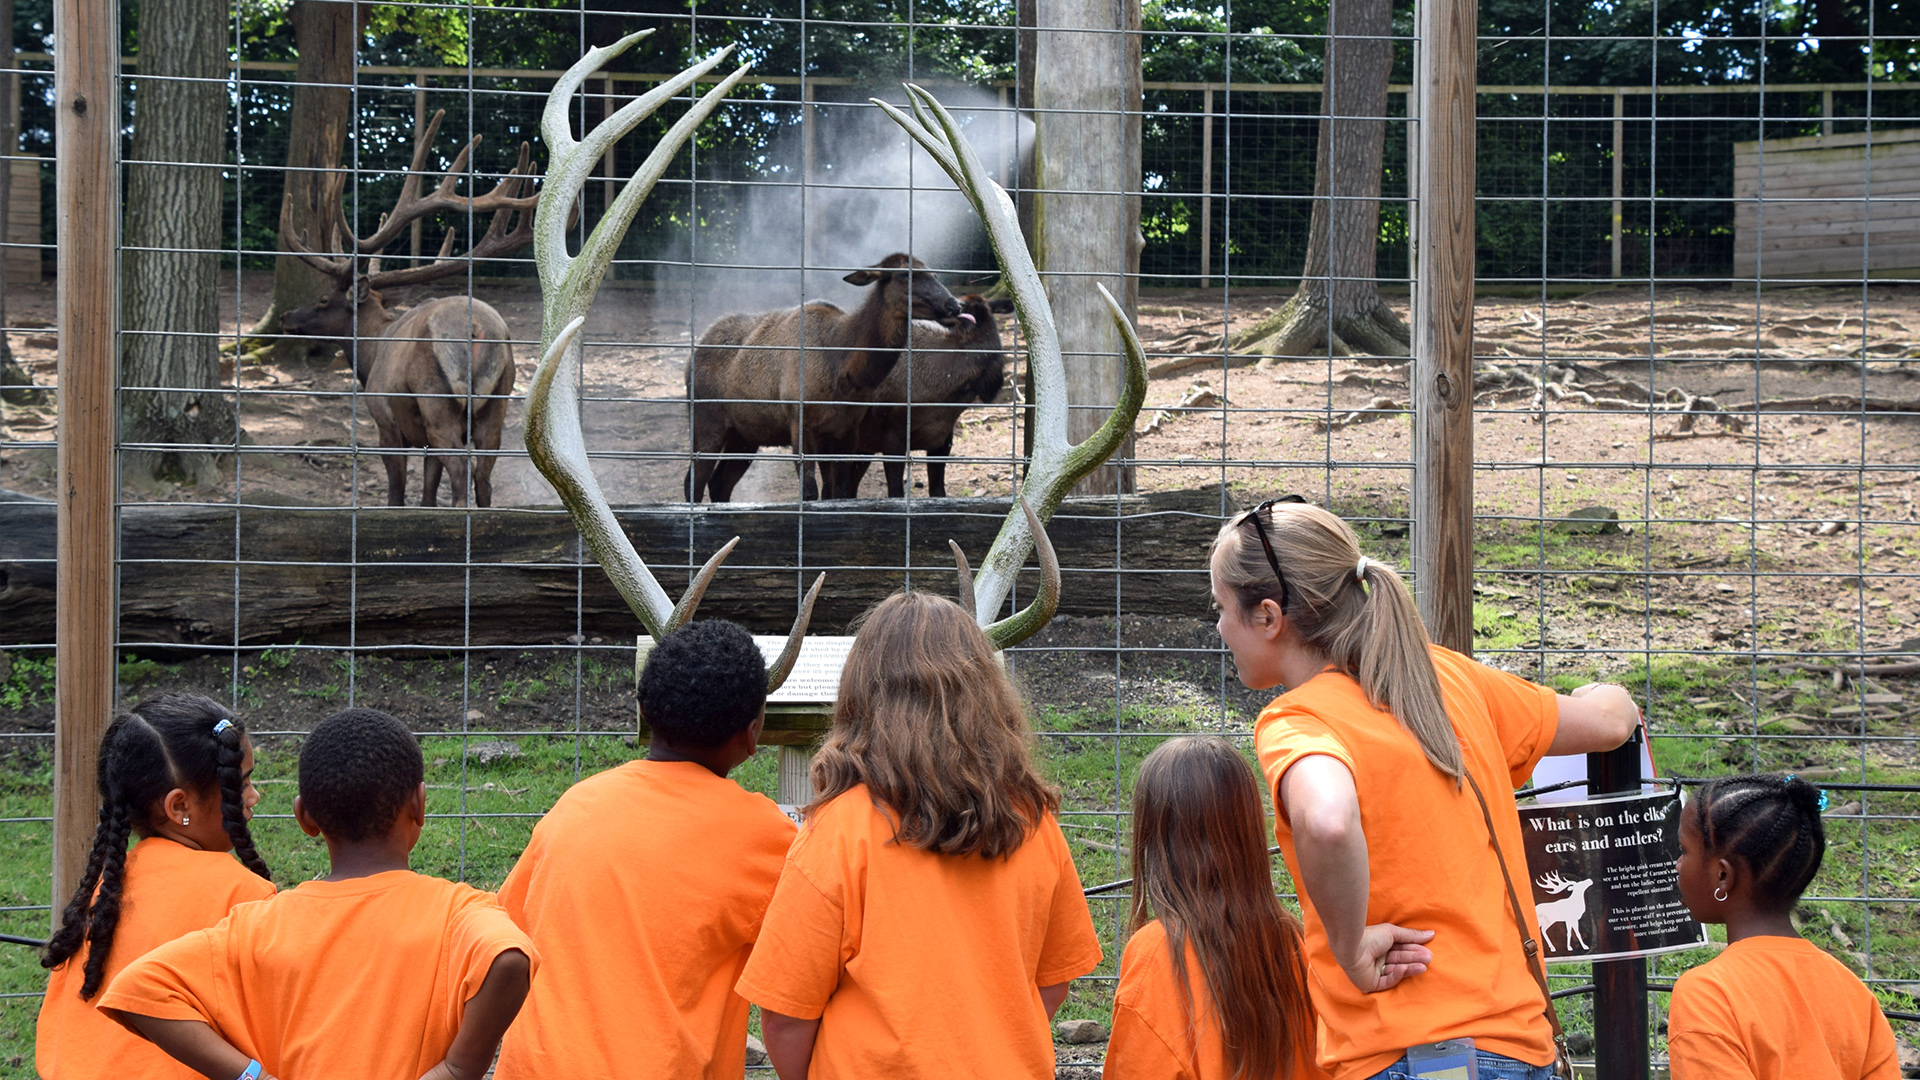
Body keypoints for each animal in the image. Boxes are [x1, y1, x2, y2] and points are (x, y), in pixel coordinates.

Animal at [274, 109, 541, 507]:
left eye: (323, 300)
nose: (286, 316)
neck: (370, 353)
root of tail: (479, 329)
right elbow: (428, 491)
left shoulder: (385, 418)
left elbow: (397, 492)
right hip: (499, 397)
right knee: (484, 477)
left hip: (436, 398)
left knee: (460, 472)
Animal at [683, 253, 967, 503]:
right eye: (903, 274)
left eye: (932, 272)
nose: (954, 305)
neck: (843, 370)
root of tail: (690, 361)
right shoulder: (800, 421)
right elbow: (810, 493)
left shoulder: (846, 430)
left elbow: (837, 492)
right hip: (707, 421)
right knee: (693, 483)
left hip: (744, 436)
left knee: (718, 484)